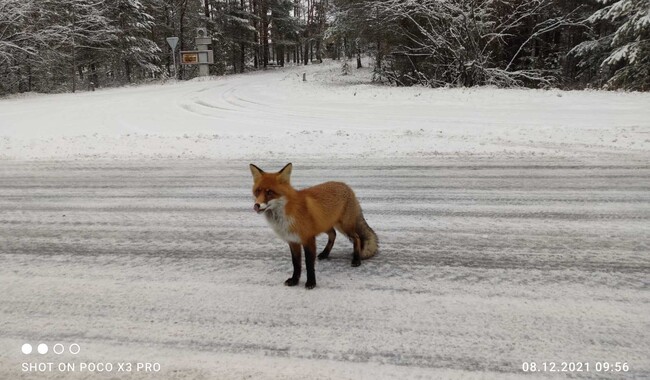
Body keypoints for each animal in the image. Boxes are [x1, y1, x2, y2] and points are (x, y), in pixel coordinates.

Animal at [249, 162, 380, 290]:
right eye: (257, 191)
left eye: (270, 192)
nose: (256, 205)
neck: (287, 213)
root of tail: (346, 185)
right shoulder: (293, 241)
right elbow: (296, 263)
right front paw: (294, 280)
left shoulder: (308, 239)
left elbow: (309, 264)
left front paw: (311, 282)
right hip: (325, 224)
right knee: (333, 234)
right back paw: (325, 254)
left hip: (344, 226)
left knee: (356, 238)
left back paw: (356, 259)